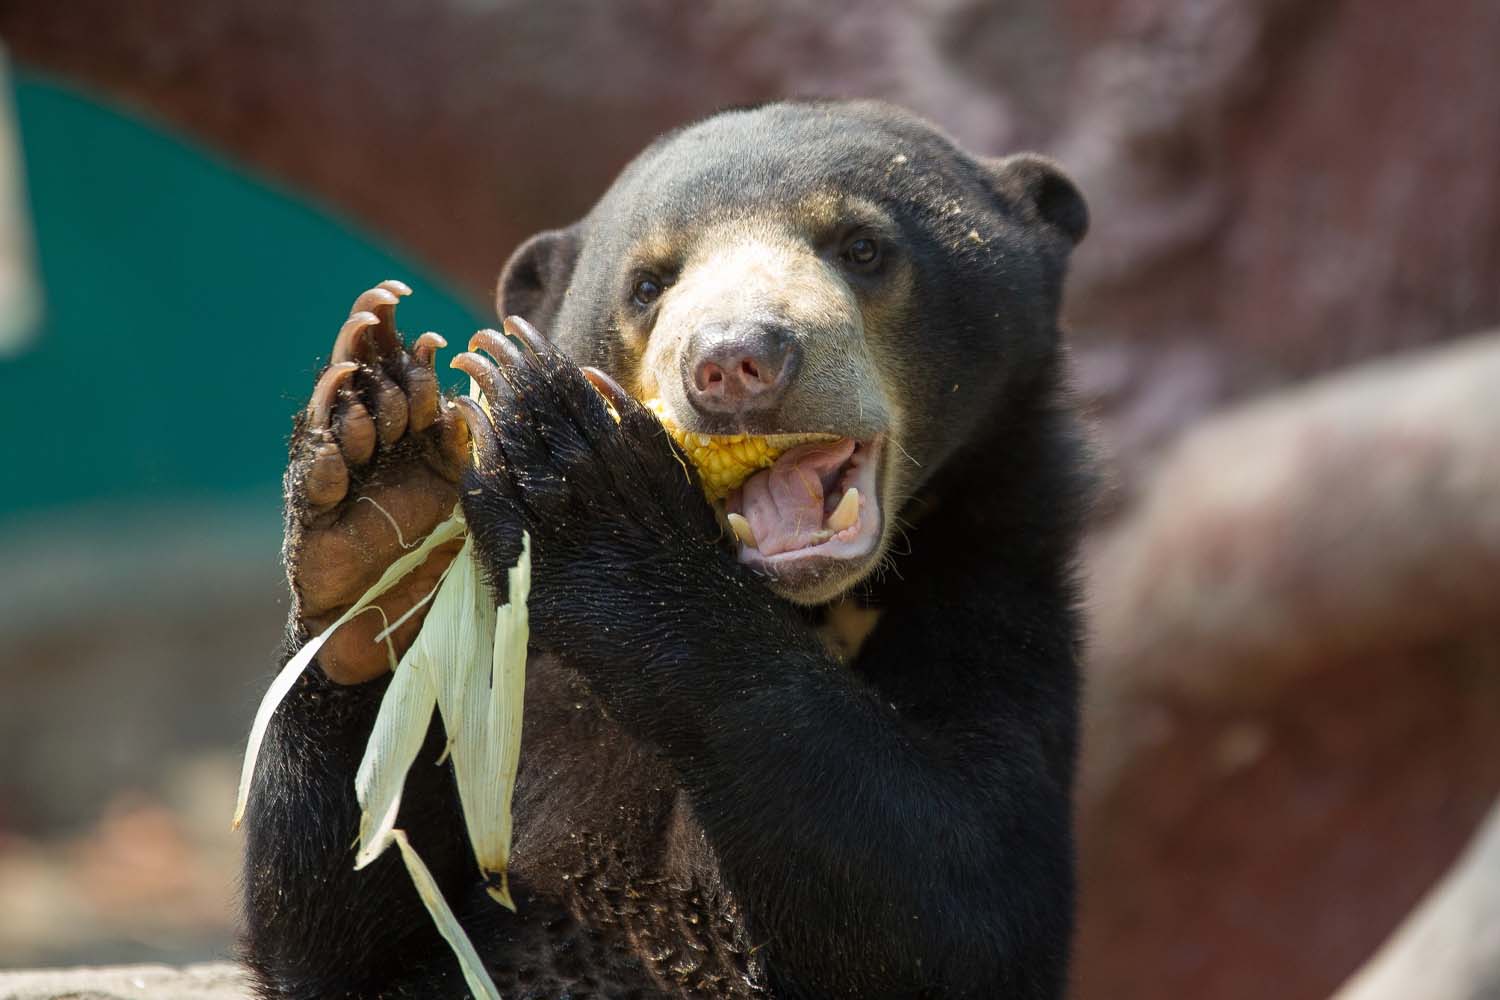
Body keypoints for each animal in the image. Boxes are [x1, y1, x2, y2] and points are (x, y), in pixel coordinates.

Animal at [242, 99, 1091, 999]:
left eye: (863, 247)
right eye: (648, 284)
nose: (734, 361)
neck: (809, 606)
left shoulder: (998, 595)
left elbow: (960, 892)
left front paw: (577, 463)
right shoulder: (516, 676)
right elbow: (358, 910)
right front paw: (381, 472)